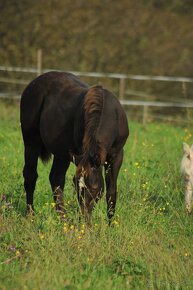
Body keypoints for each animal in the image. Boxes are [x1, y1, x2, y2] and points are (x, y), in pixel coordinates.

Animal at [20, 71, 129, 224]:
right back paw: (31, 215)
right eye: (77, 186)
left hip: (61, 153)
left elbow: (111, 191)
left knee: (56, 178)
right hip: (31, 142)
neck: (110, 115)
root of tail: (33, 84)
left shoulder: (116, 156)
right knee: (30, 175)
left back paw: (63, 219)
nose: (85, 220)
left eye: (94, 188)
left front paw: (111, 224)